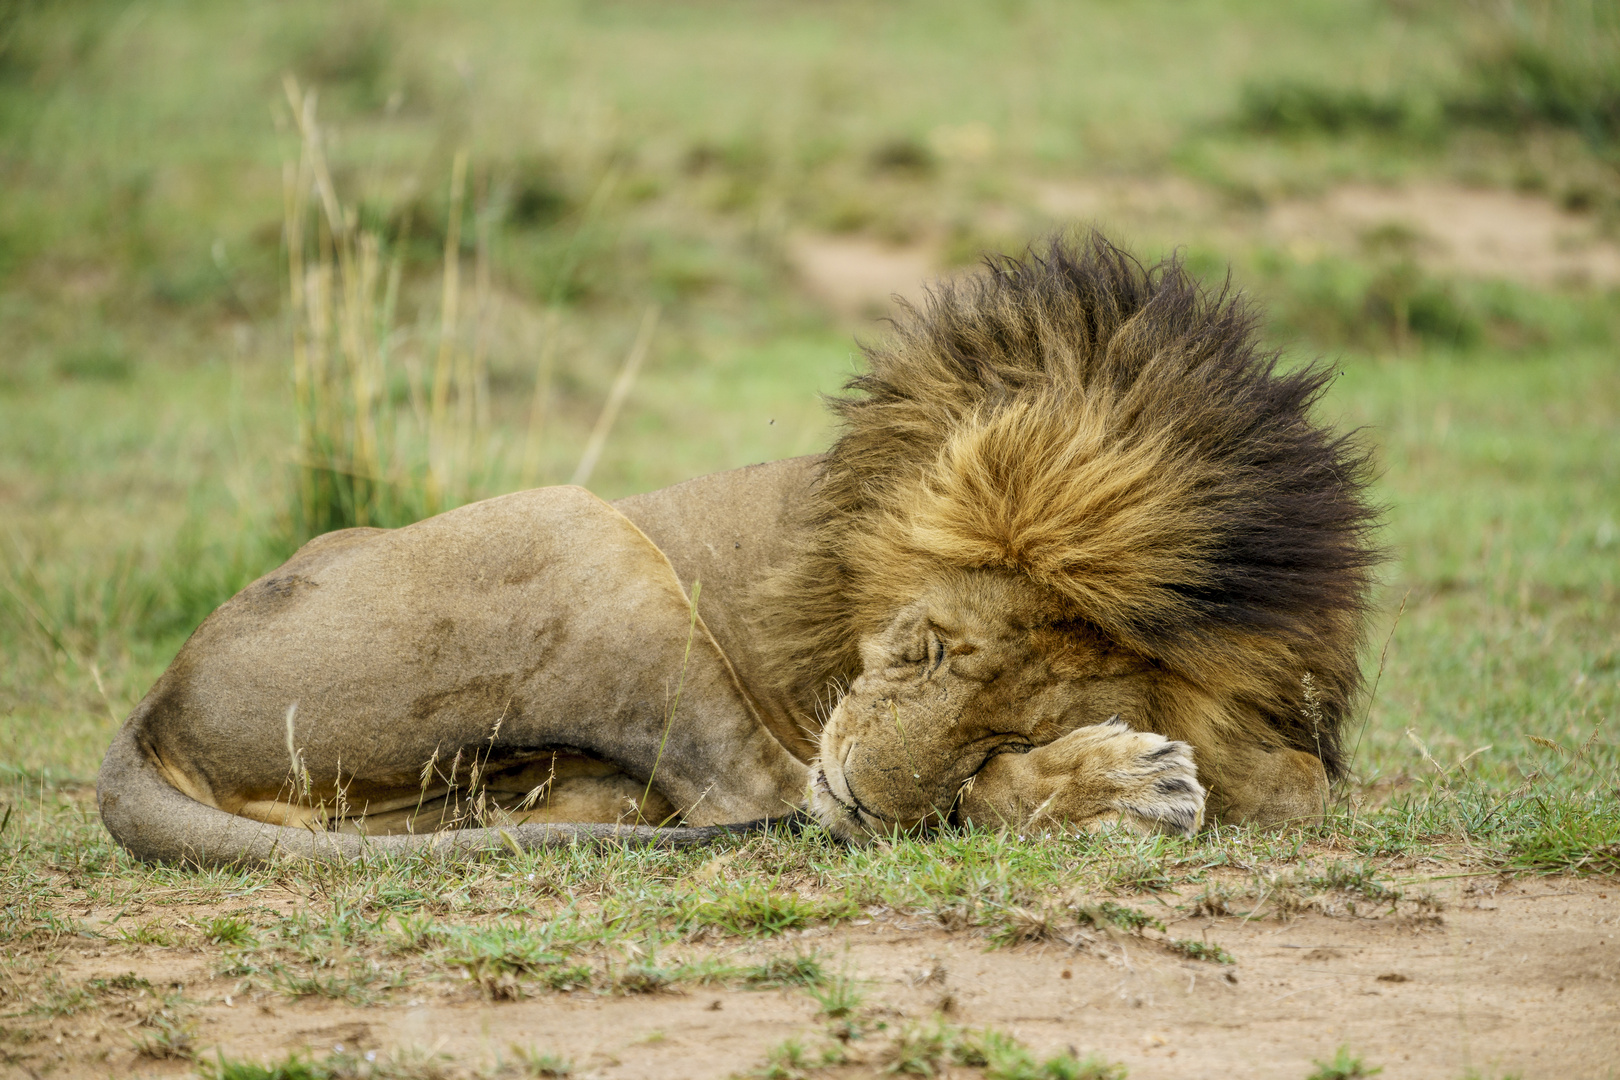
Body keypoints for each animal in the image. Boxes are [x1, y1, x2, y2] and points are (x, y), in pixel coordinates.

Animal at [94, 236, 1380, 867]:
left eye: (1011, 727)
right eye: (922, 650)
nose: (859, 794)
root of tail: (154, 704)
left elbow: (1299, 784)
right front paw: (1127, 783)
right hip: (582, 534)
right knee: (756, 791)